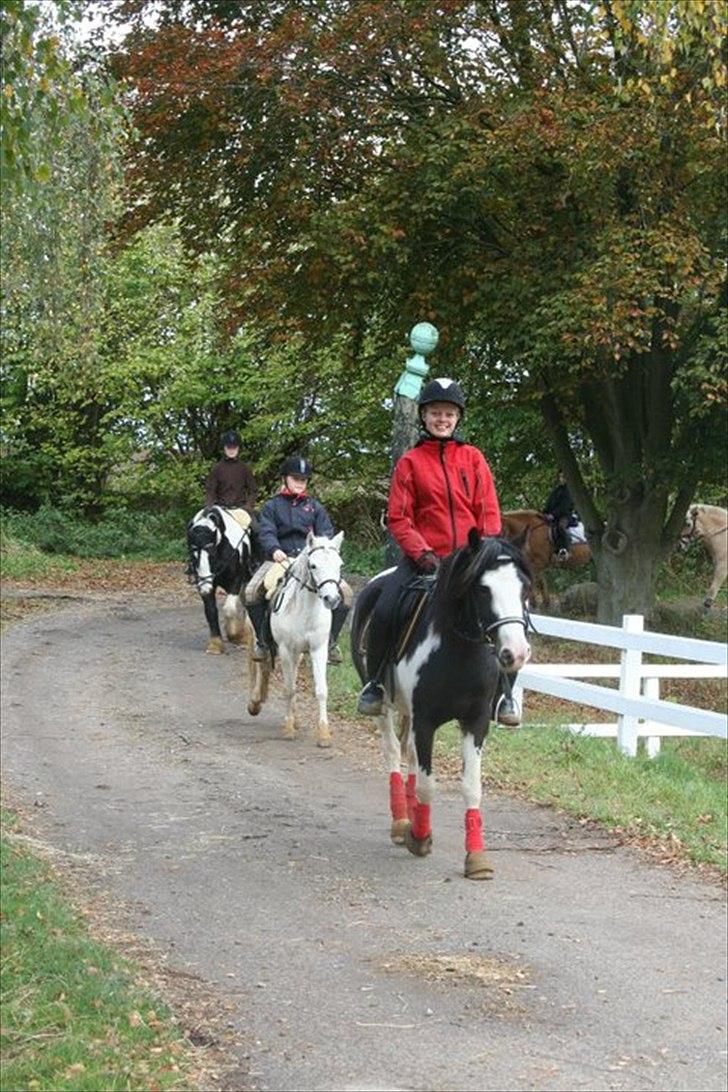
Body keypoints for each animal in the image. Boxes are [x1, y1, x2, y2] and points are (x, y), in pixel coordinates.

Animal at [187, 504, 256, 650]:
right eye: (193, 556)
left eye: (212, 554)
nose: (205, 588)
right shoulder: (206, 583)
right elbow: (211, 611)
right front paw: (215, 644)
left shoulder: (236, 580)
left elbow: (229, 608)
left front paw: (235, 635)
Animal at [247, 530, 344, 751]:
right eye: (313, 565)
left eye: (340, 565)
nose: (332, 599)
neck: (305, 610)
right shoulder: (285, 650)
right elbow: (289, 689)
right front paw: (288, 728)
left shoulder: (318, 649)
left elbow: (321, 690)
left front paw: (324, 734)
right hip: (258, 639)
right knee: (259, 666)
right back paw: (255, 703)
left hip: (299, 654)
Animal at [349, 532, 532, 882]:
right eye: (483, 589)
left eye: (523, 588)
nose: (515, 652)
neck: (459, 648)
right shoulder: (426, 722)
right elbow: (427, 786)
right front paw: (419, 838)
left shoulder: (475, 722)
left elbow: (471, 787)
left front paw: (477, 858)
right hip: (385, 705)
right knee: (394, 752)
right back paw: (401, 822)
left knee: (408, 754)